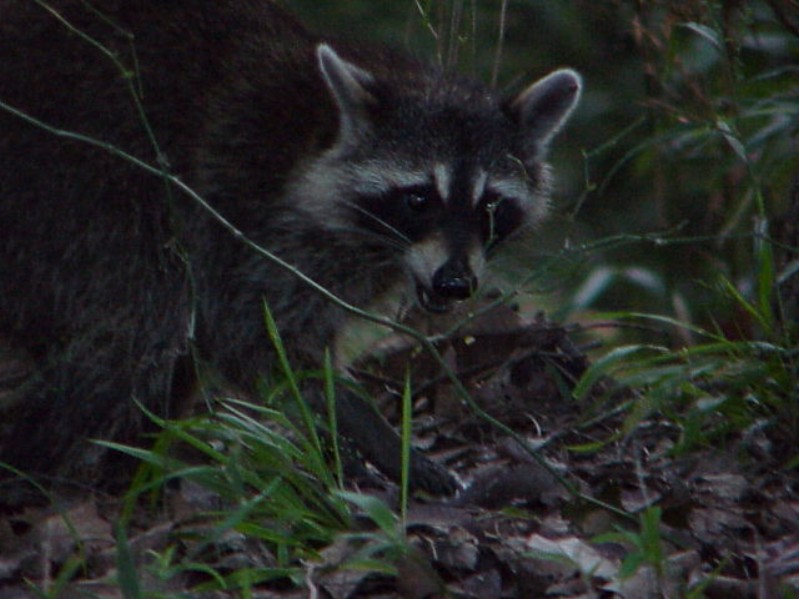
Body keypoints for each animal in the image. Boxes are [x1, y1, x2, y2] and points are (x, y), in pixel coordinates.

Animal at [0, 1, 580, 496]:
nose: (454, 283)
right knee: (136, 321)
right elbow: (260, 340)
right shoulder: (238, 208)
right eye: (418, 199)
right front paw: (370, 433)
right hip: (80, 186)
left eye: (491, 207)